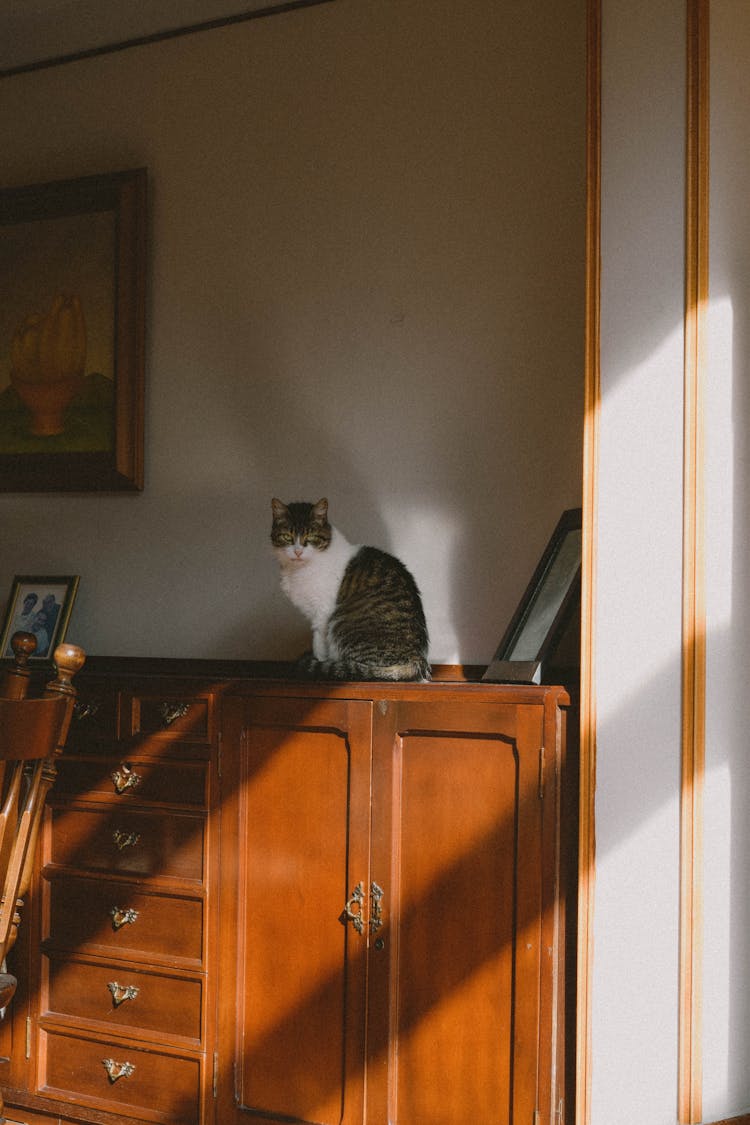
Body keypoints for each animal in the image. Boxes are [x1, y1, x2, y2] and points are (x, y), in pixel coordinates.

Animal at [273, 497, 431, 679]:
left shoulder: (322, 614)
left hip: (340, 623)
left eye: (310, 537)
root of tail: (417, 659)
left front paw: (318, 661)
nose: (298, 552)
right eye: (287, 537)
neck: (298, 570)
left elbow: (318, 644)